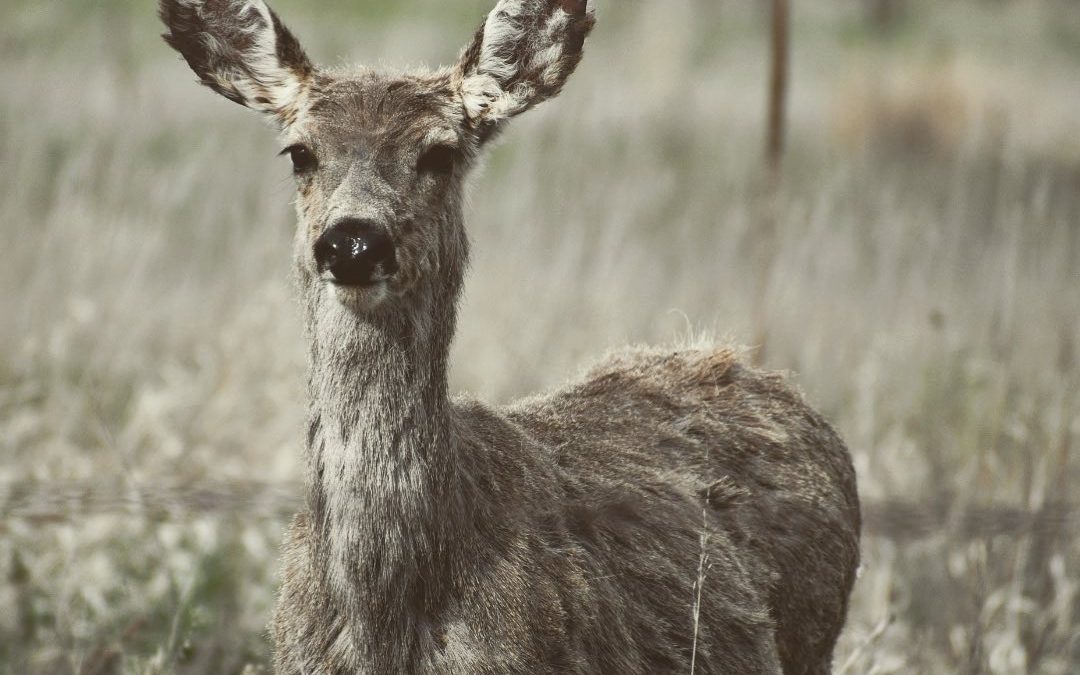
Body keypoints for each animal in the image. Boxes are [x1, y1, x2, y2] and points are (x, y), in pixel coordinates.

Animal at [159, 1, 861, 672]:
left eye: (440, 153)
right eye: (299, 153)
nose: (353, 241)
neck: (387, 618)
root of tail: (748, 366)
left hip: (815, 641)